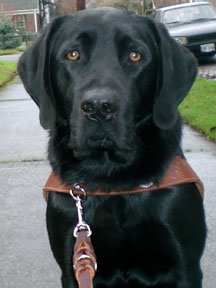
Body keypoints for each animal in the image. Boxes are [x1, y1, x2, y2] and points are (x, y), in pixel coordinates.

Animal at [17, 7, 206, 286]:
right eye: (72, 54)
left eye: (135, 56)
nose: (98, 107)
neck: (111, 179)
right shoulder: (72, 265)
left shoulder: (186, 267)